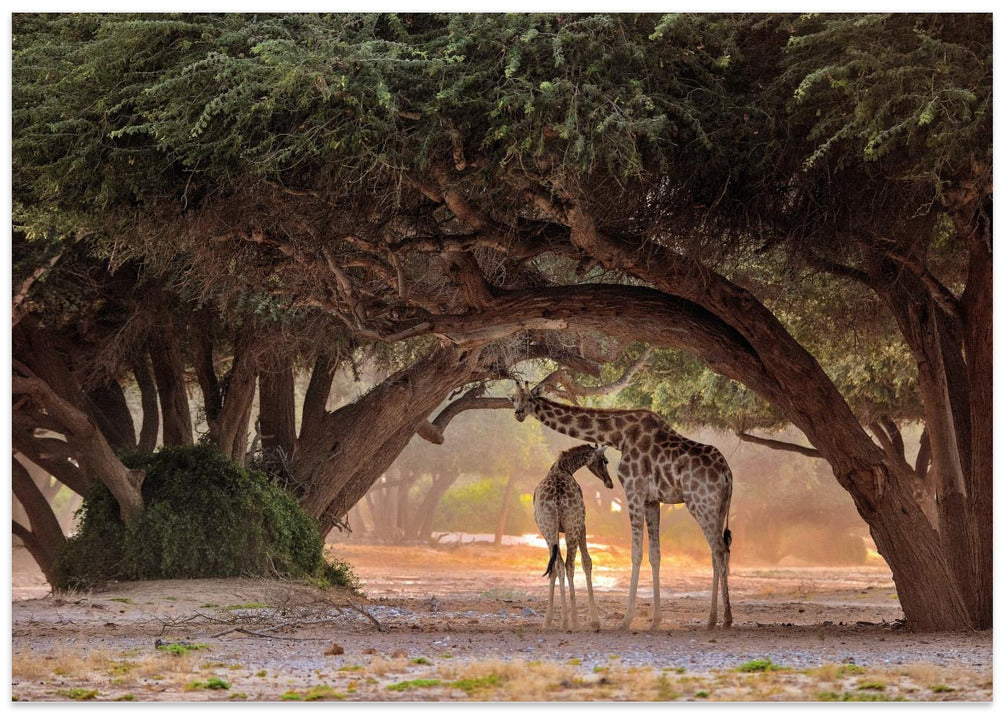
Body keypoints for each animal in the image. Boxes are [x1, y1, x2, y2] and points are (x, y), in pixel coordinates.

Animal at [533, 443, 614, 631]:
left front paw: (549, 620)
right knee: (569, 564)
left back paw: (561, 620)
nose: (610, 483)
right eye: (605, 460)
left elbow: (554, 568)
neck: (565, 467)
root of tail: (556, 497)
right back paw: (574, 621)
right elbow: (587, 562)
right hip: (572, 526)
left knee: (558, 565)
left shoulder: (551, 532)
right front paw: (595, 620)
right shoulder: (583, 525)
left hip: (548, 529)